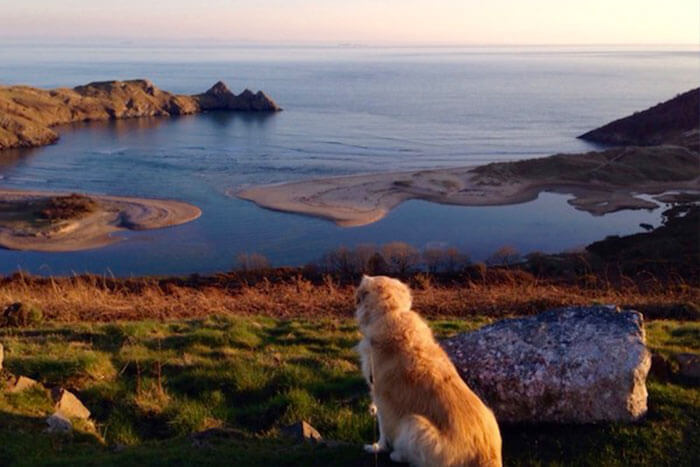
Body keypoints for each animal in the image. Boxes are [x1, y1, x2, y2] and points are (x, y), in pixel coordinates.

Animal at [356, 276, 504, 466]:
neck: (390, 313)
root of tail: (488, 455)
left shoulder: (380, 396)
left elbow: (383, 428)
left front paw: (376, 447)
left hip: (413, 424)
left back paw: (398, 455)